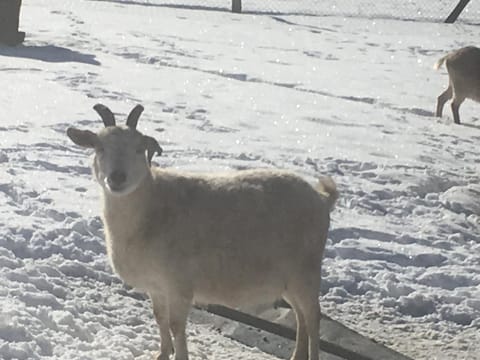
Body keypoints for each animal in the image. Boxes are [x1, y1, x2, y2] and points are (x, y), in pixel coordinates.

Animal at [66, 104, 338, 360]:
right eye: (99, 147)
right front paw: (161, 354)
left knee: (313, 317)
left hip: (306, 271)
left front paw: (180, 355)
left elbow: (176, 326)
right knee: (301, 317)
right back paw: (297, 356)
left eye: (139, 148)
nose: (117, 177)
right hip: (289, 280)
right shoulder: (157, 286)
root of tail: (322, 197)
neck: (151, 207)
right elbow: (160, 319)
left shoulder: (179, 284)